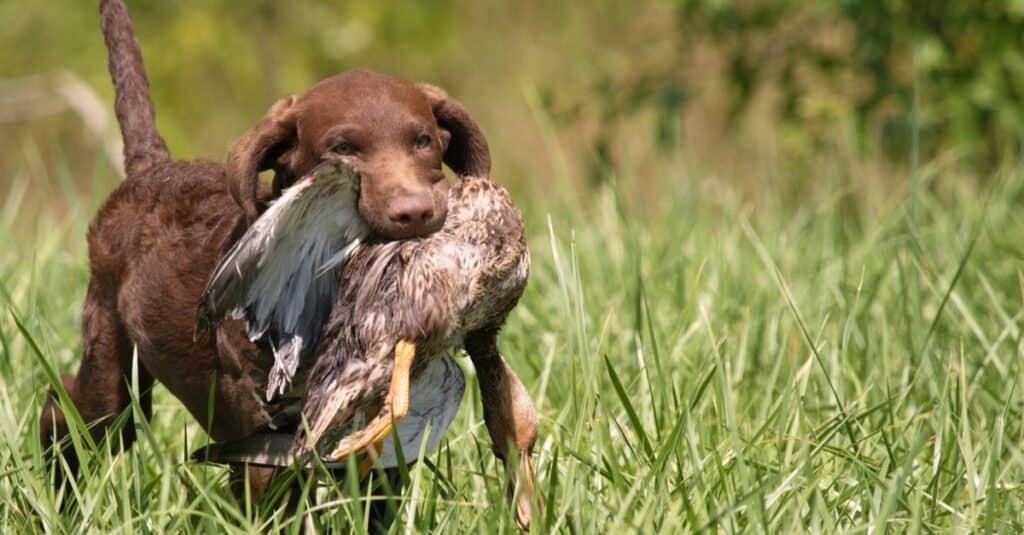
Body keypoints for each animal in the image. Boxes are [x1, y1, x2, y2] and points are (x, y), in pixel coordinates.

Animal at [40, 0, 499, 506]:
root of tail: (150, 169)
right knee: (72, 410)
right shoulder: (264, 442)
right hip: (110, 351)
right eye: (342, 149)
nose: (415, 212)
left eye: (424, 141)